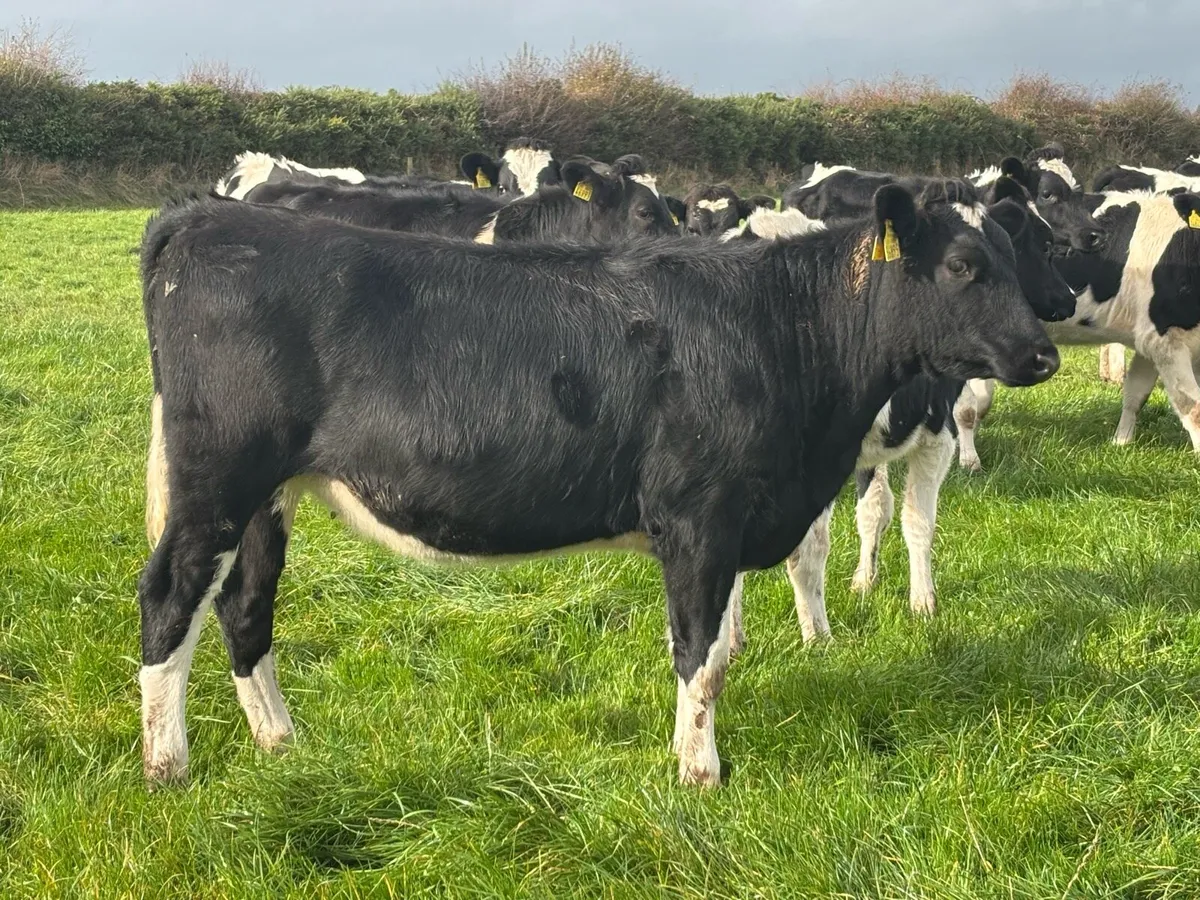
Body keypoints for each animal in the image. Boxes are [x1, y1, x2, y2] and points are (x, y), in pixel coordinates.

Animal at [137, 183, 1057, 789]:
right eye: (963, 265)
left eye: (1018, 258)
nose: (1043, 354)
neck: (781, 326)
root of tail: (203, 216)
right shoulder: (699, 519)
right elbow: (701, 658)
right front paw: (699, 774)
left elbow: (718, 647)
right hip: (218, 481)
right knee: (170, 599)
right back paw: (167, 764)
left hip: (268, 495)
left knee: (244, 606)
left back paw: (280, 741)